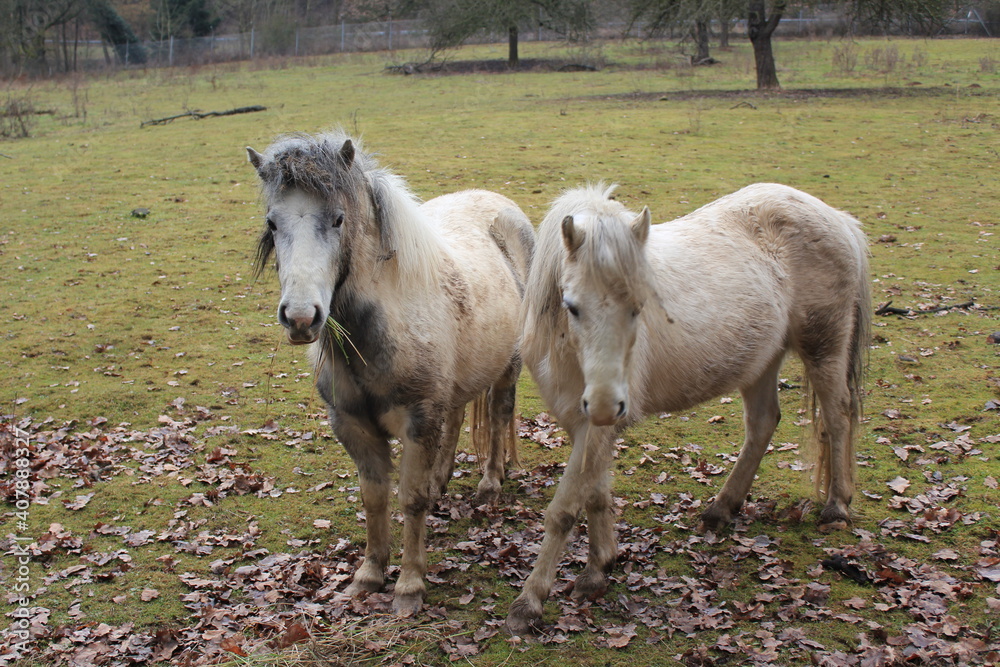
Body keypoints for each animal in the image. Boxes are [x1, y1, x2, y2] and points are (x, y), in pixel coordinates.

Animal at [246, 131, 535, 615]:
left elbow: (410, 500)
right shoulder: (354, 427)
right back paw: (441, 480)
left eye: (339, 218)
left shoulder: (418, 421)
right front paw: (369, 574)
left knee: (498, 414)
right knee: (457, 417)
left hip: (507, 369)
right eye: (272, 223)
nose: (301, 317)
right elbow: (375, 497)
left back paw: (491, 483)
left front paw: (410, 586)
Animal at [506, 183, 870, 633]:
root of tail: (838, 218)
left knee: (837, 417)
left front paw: (530, 601)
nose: (607, 403)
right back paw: (721, 509)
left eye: (639, 306)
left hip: (825, 347)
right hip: (761, 361)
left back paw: (836, 507)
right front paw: (599, 568)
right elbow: (594, 493)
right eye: (571, 306)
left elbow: (564, 509)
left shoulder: (596, 427)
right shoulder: (583, 421)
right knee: (763, 423)